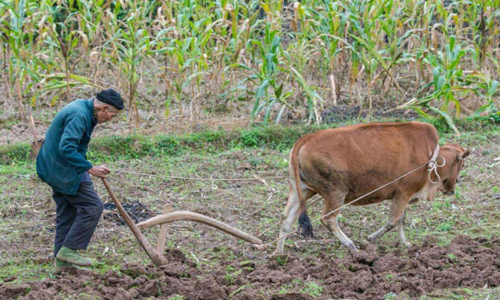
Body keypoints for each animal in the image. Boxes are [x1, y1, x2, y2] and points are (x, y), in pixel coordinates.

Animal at [276, 122, 470, 253]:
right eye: (462, 164)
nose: (453, 187)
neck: (432, 156)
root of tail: (306, 138)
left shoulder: (401, 196)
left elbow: (401, 218)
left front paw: (405, 243)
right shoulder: (404, 193)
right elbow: (393, 220)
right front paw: (369, 240)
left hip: (302, 189)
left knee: (286, 218)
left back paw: (279, 253)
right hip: (335, 193)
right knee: (329, 219)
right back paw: (351, 246)